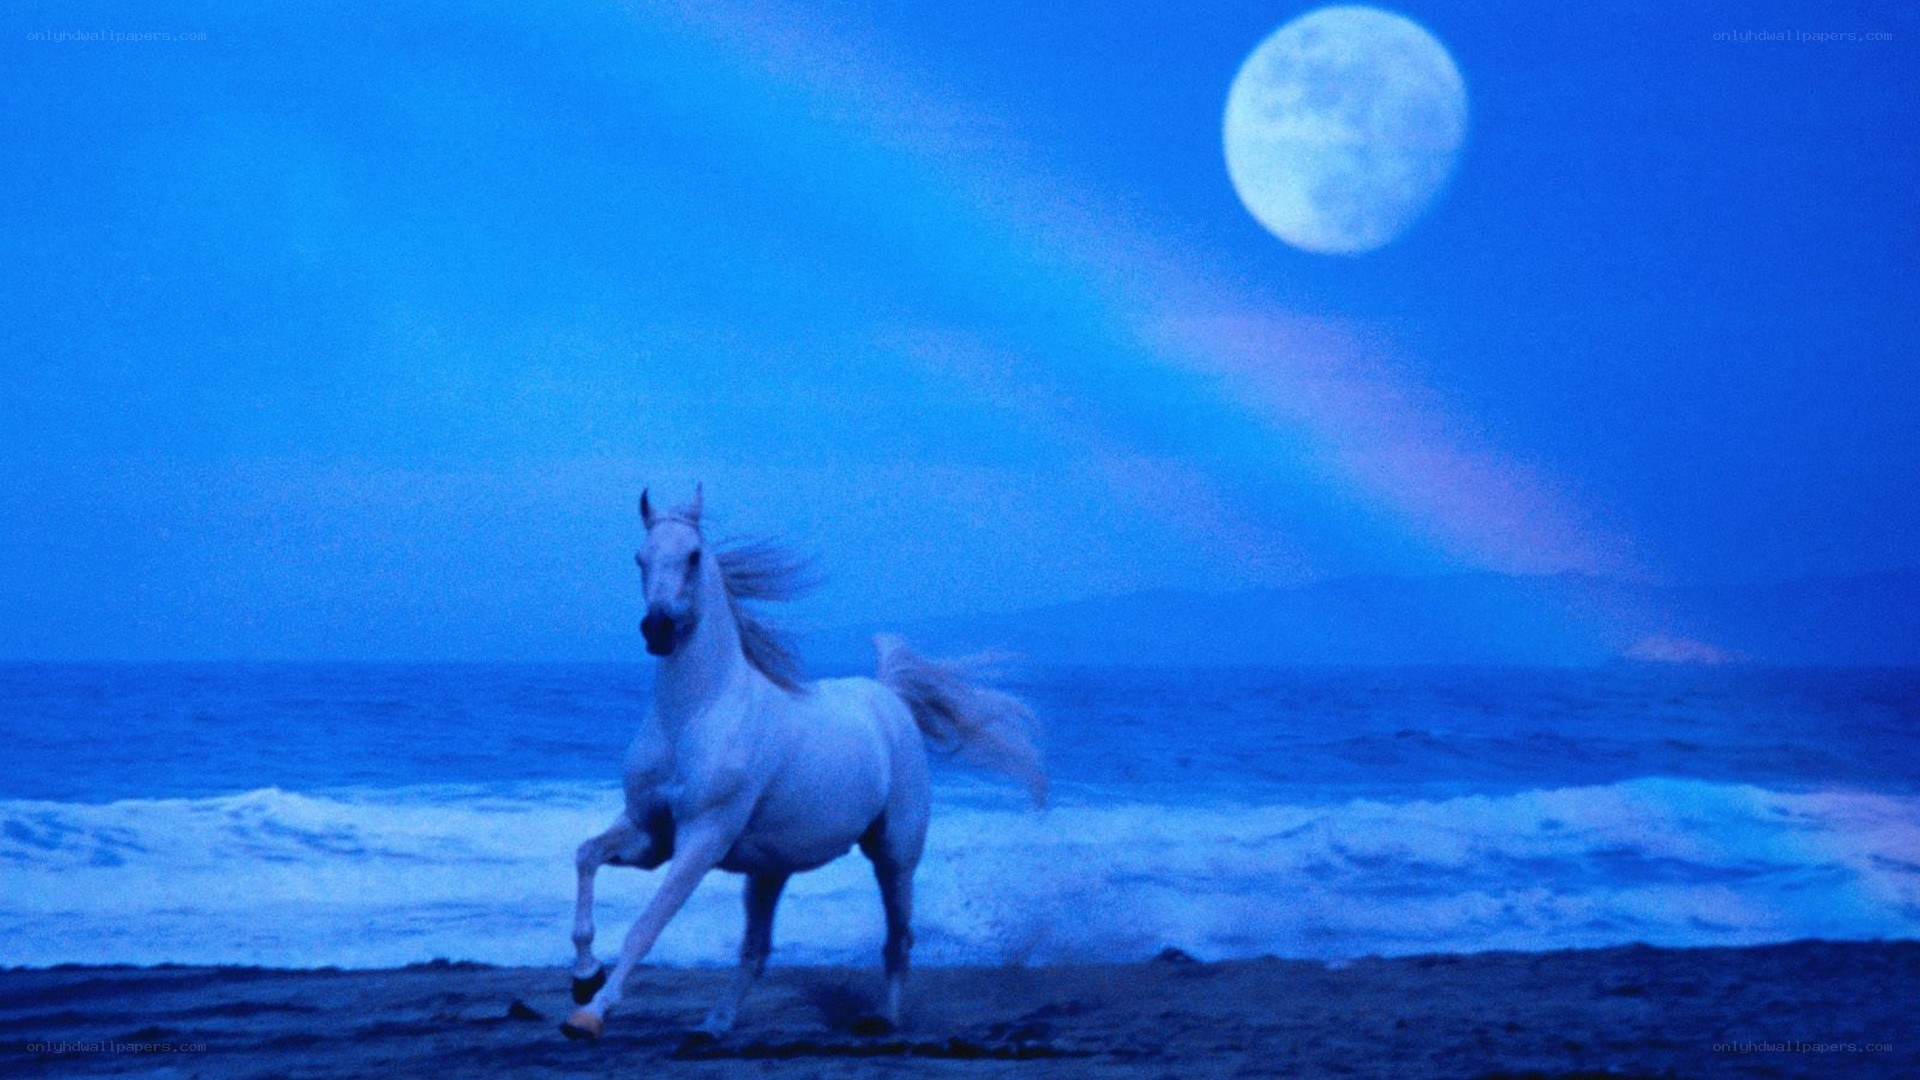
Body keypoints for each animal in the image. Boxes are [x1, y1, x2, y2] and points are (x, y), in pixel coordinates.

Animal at [561, 485, 1047, 1041]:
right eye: (639, 558)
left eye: (693, 555)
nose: (657, 628)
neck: (695, 715)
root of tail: (889, 698)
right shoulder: (650, 834)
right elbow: (586, 856)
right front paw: (583, 978)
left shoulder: (702, 838)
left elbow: (646, 926)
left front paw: (590, 1013)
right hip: (769, 870)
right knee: (755, 950)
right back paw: (715, 1024)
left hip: (895, 854)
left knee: (898, 939)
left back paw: (885, 1019)